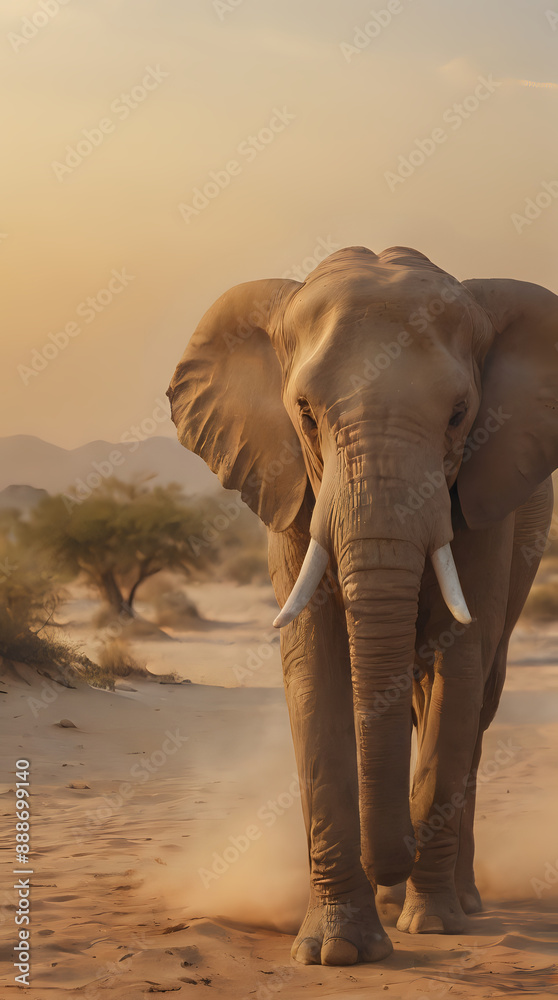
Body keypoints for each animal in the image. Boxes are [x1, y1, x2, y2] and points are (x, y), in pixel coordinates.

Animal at [167, 245, 556, 966]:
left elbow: (459, 665)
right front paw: (337, 951)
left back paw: (458, 904)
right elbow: (315, 671)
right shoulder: (289, 484)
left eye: (459, 414)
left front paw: (430, 926)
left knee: (475, 702)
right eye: (306, 412)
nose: (392, 861)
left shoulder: (488, 496)